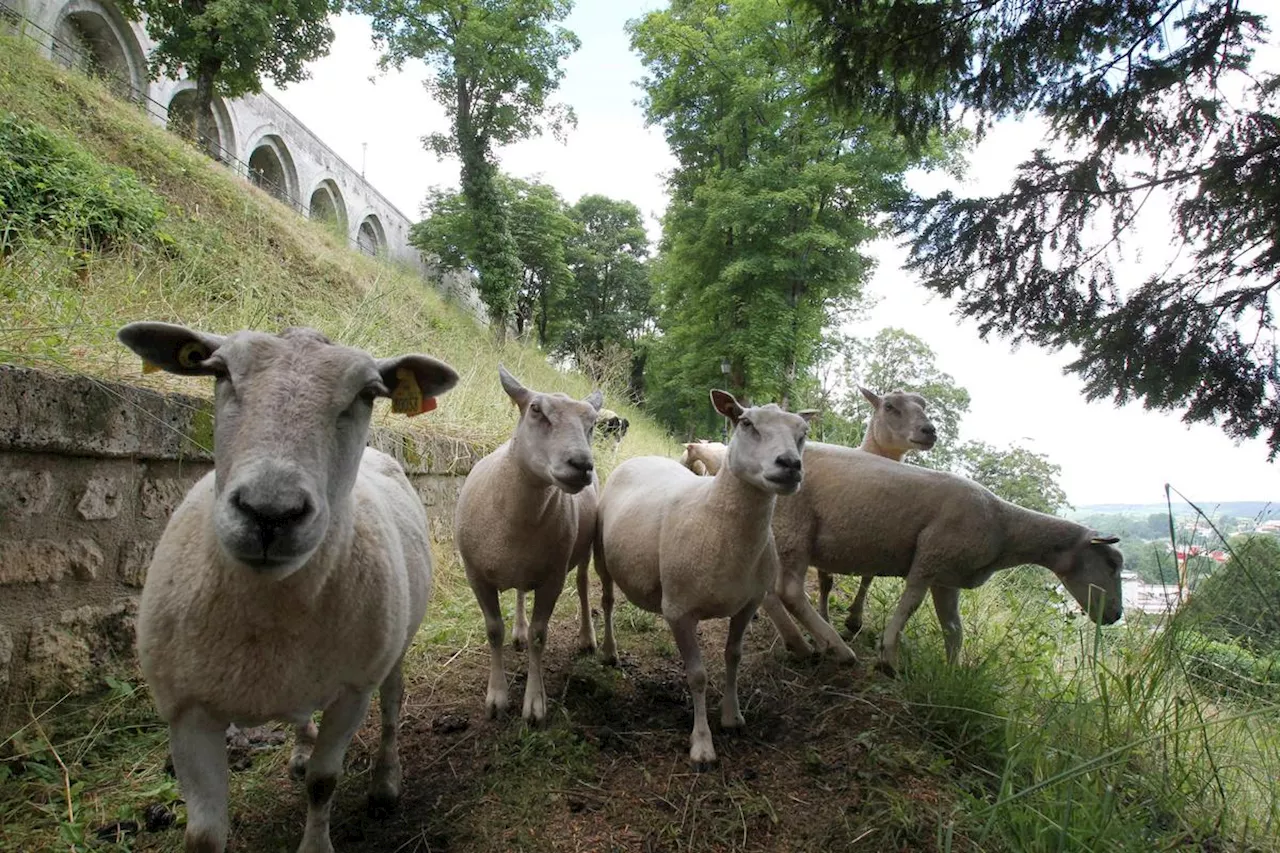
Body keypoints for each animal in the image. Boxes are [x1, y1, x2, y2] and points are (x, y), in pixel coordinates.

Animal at [117, 320, 460, 850]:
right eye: (219, 371)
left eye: (368, 393)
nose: (269, 513)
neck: (267, 614)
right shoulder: (187, 711)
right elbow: (204, 835)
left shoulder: (351, 692)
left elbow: (324, 782)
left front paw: (317, 840)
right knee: (302, 716)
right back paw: (300, 750)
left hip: (392, 650)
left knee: (391, 706)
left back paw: (385, 782)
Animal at [455, 366, 604, 722]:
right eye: (536, 409)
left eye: (592, 423)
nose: (582, 465)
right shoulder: (476, 575)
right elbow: (493, 631)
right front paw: (496, 698)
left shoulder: (553, 577)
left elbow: (540, 635)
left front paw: (535, 704)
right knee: (521, 591)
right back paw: (518, 632)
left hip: (584, 549)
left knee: (582, 585)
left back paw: (586, 637)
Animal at [593, 389, 814, 763]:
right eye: (746, 423)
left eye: (803, 433)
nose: (790, 465)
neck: (714, 517)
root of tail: (643, 457)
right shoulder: (679, 610)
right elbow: (697, 676)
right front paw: (702, 744)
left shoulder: (749, 604)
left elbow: (733, 657)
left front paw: (732, 717)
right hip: (601, 556)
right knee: (607, 601)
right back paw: (609, 652)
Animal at [757, 440, 1121, 676]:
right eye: (1112, 563)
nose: (1115, 615)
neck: (1005, 528)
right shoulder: (930, 556)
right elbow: (910, 606)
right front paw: (888, 659)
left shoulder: (947, 577)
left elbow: (953, 629)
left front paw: (950, 674)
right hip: (795, 525)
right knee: (789, 591)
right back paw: (838, 650)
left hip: (779, 532)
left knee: (769, 592)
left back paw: (801, 646)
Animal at [819, 384, 942, 625]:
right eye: (889, 406)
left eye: (924, 405)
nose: (929, 430)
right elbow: (825, 581)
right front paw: (824, 619)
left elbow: (868, 577)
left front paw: (854, 620)